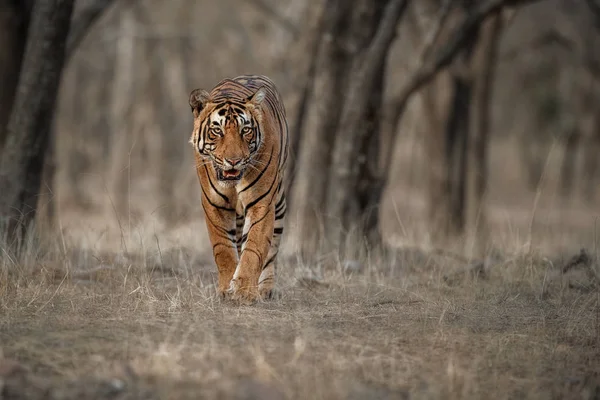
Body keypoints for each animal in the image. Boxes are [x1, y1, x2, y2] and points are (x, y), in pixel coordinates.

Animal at [189, 74, 290, 304]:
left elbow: (254, 248)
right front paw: (227, 288)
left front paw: (244, 291)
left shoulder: (262, 203)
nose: (233, 161)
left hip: (278, 202)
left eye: (246, 130)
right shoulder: (214, 205)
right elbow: (223, 250)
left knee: (271, 248)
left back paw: (265, 289)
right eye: (217, 130)